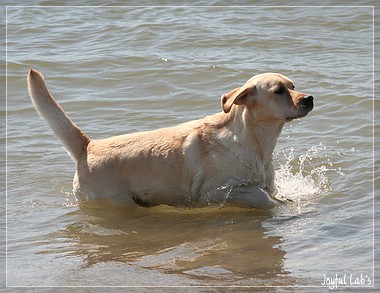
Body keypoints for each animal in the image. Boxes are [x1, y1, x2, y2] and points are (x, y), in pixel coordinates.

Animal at [26, 68, 314, 209]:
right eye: (278, 91)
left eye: (293, 86)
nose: (310, 98)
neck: (255, 143)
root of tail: (88, 146)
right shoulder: (215, 191)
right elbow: (261, 197)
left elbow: (270, 192)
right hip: (115, 201)